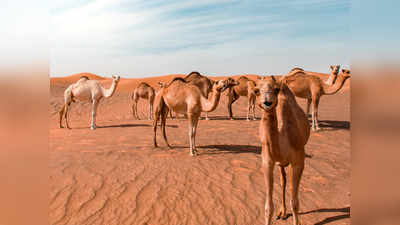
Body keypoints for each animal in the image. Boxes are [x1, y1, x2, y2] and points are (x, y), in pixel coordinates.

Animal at [253, 75, 310, 225]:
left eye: (276, 89)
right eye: (256, 90)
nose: (267, 102)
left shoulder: (298, 160)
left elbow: (295, 202)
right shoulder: (267, 161)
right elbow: (268, 207)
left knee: (288, 185)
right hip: (280, 163)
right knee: (283, 180)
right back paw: (282, 212)